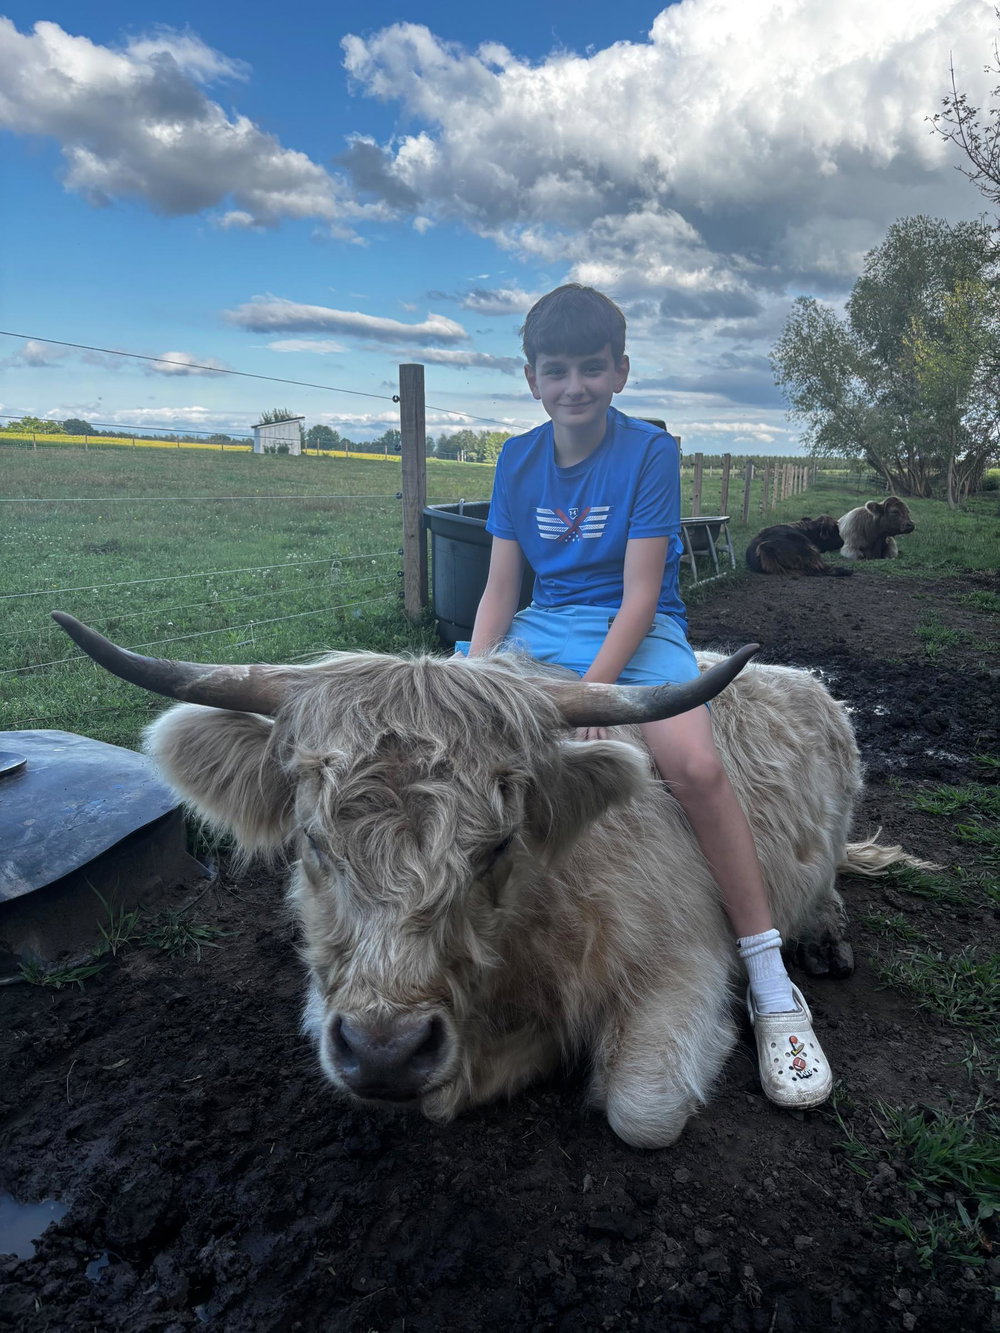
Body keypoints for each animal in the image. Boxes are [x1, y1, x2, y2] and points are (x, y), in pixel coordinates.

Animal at [52, 612, 926, 1149]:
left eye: (498, 845)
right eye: (312, 843)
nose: (386, 1052)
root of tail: (803, 676)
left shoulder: (683, 960)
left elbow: (641, 1105)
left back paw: (823, 941)